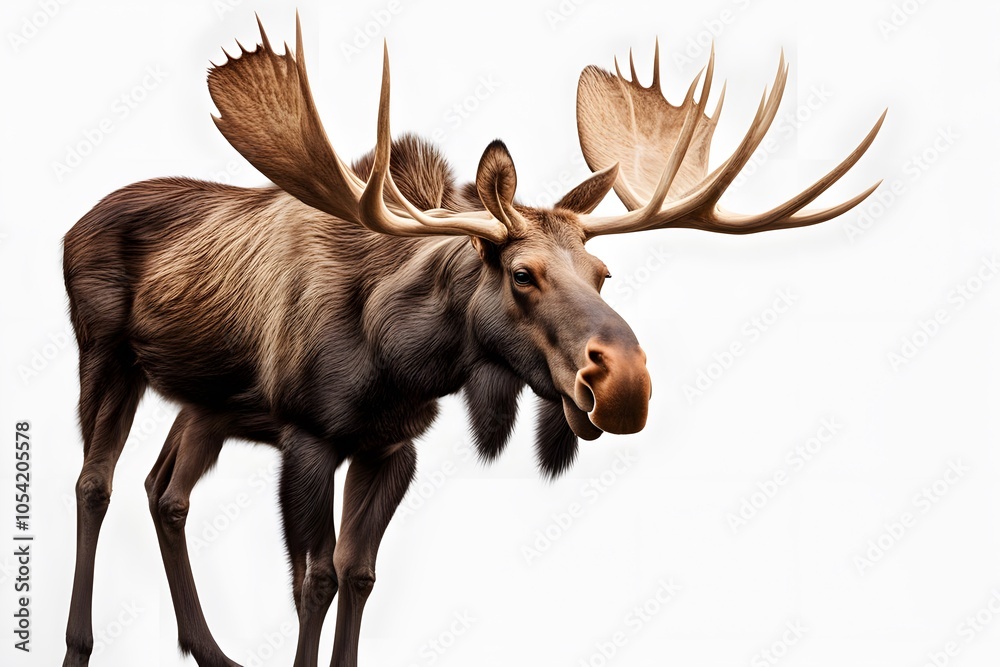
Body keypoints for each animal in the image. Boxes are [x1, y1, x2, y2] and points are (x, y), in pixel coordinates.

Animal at [61, 14, 884, 667]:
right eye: (522, 273)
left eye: (603, 272)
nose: (624, 381)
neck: (397, 360)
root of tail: (72, 224)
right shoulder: (307, 435)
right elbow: (313, 580)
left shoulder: (392, 447)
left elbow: (359, 575)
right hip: (105, 354)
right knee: (95, 482)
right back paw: (79, 643)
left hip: (208, 402)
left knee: (165, 491)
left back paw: (210, 650)